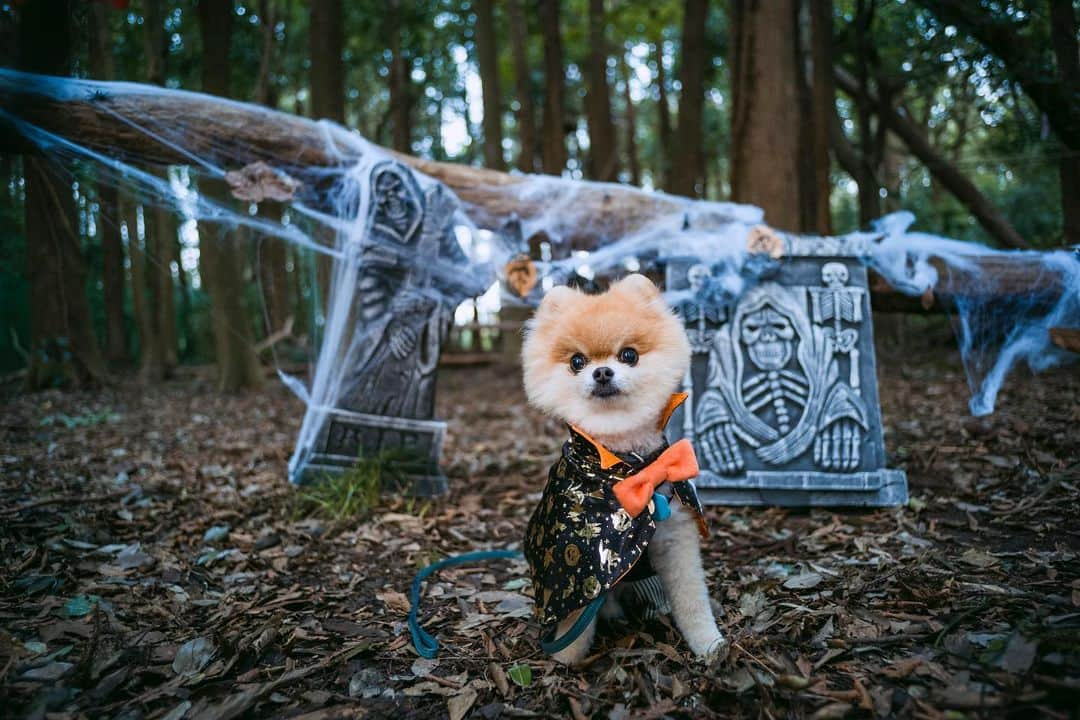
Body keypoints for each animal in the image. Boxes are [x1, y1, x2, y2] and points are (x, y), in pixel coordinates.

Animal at [520, 274, 725, 664]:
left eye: (628, 355)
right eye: (577, 361)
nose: (602, 371)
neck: (627, 469)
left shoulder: (675, 538)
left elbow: (692, 599)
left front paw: (709, 643)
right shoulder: (576, 556)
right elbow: (573, 616)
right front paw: (566, 656)